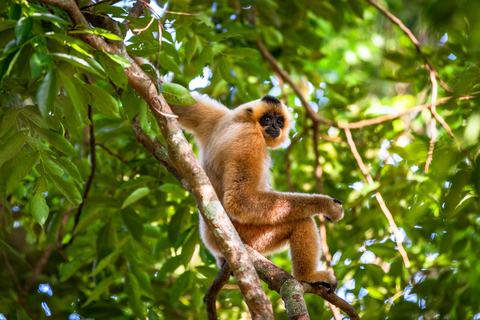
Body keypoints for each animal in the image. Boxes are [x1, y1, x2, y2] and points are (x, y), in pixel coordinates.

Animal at [171, 93, 344, 292]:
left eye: (279, 120)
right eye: (267, 119)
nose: (275, 126)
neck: (242, 120)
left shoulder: (218, 117)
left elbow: (182, 103)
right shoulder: (249, 138)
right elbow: (241, 199)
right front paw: (326, 205)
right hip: (248, 236)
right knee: (302, 221)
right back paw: (307, 276)